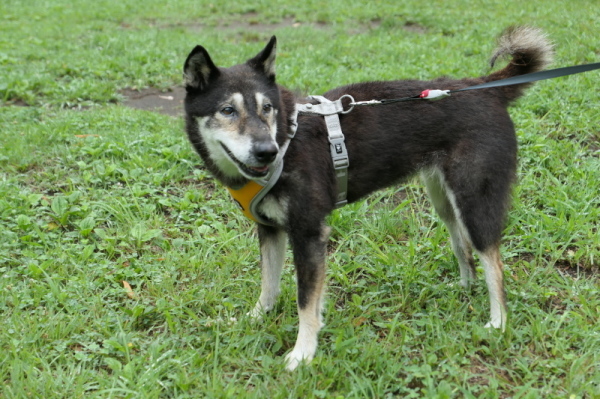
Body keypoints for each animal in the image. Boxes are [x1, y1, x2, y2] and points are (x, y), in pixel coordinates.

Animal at [182, 26, 552, 372]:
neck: (286, 135)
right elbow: (268, 285)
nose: (266, 152)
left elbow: (305, 302)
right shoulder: (271, 229)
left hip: (475, 201)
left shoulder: (309, 234)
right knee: (463, 246)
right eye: (227, 110)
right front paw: (256, 318)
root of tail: (483, 87)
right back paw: (464, 287)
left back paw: (497, 322)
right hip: (444, 200)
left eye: (267, 108)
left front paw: (302, 354)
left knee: (494, 264)